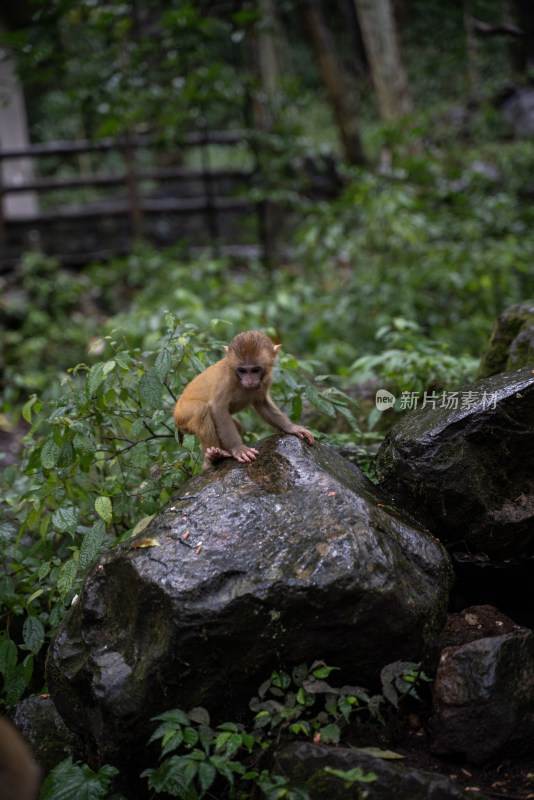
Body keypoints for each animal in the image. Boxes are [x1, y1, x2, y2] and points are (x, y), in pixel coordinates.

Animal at [176, 332, 316, 468]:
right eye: (242, 370)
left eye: (255, 370)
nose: (249, 381)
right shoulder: (225, 381)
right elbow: (218, 408)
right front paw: (238, 448)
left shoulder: (266, 379)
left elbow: (262, 404)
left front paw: (291, 427)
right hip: (182, 415)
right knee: (200, 410)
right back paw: (213, 458)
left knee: (237, 424)